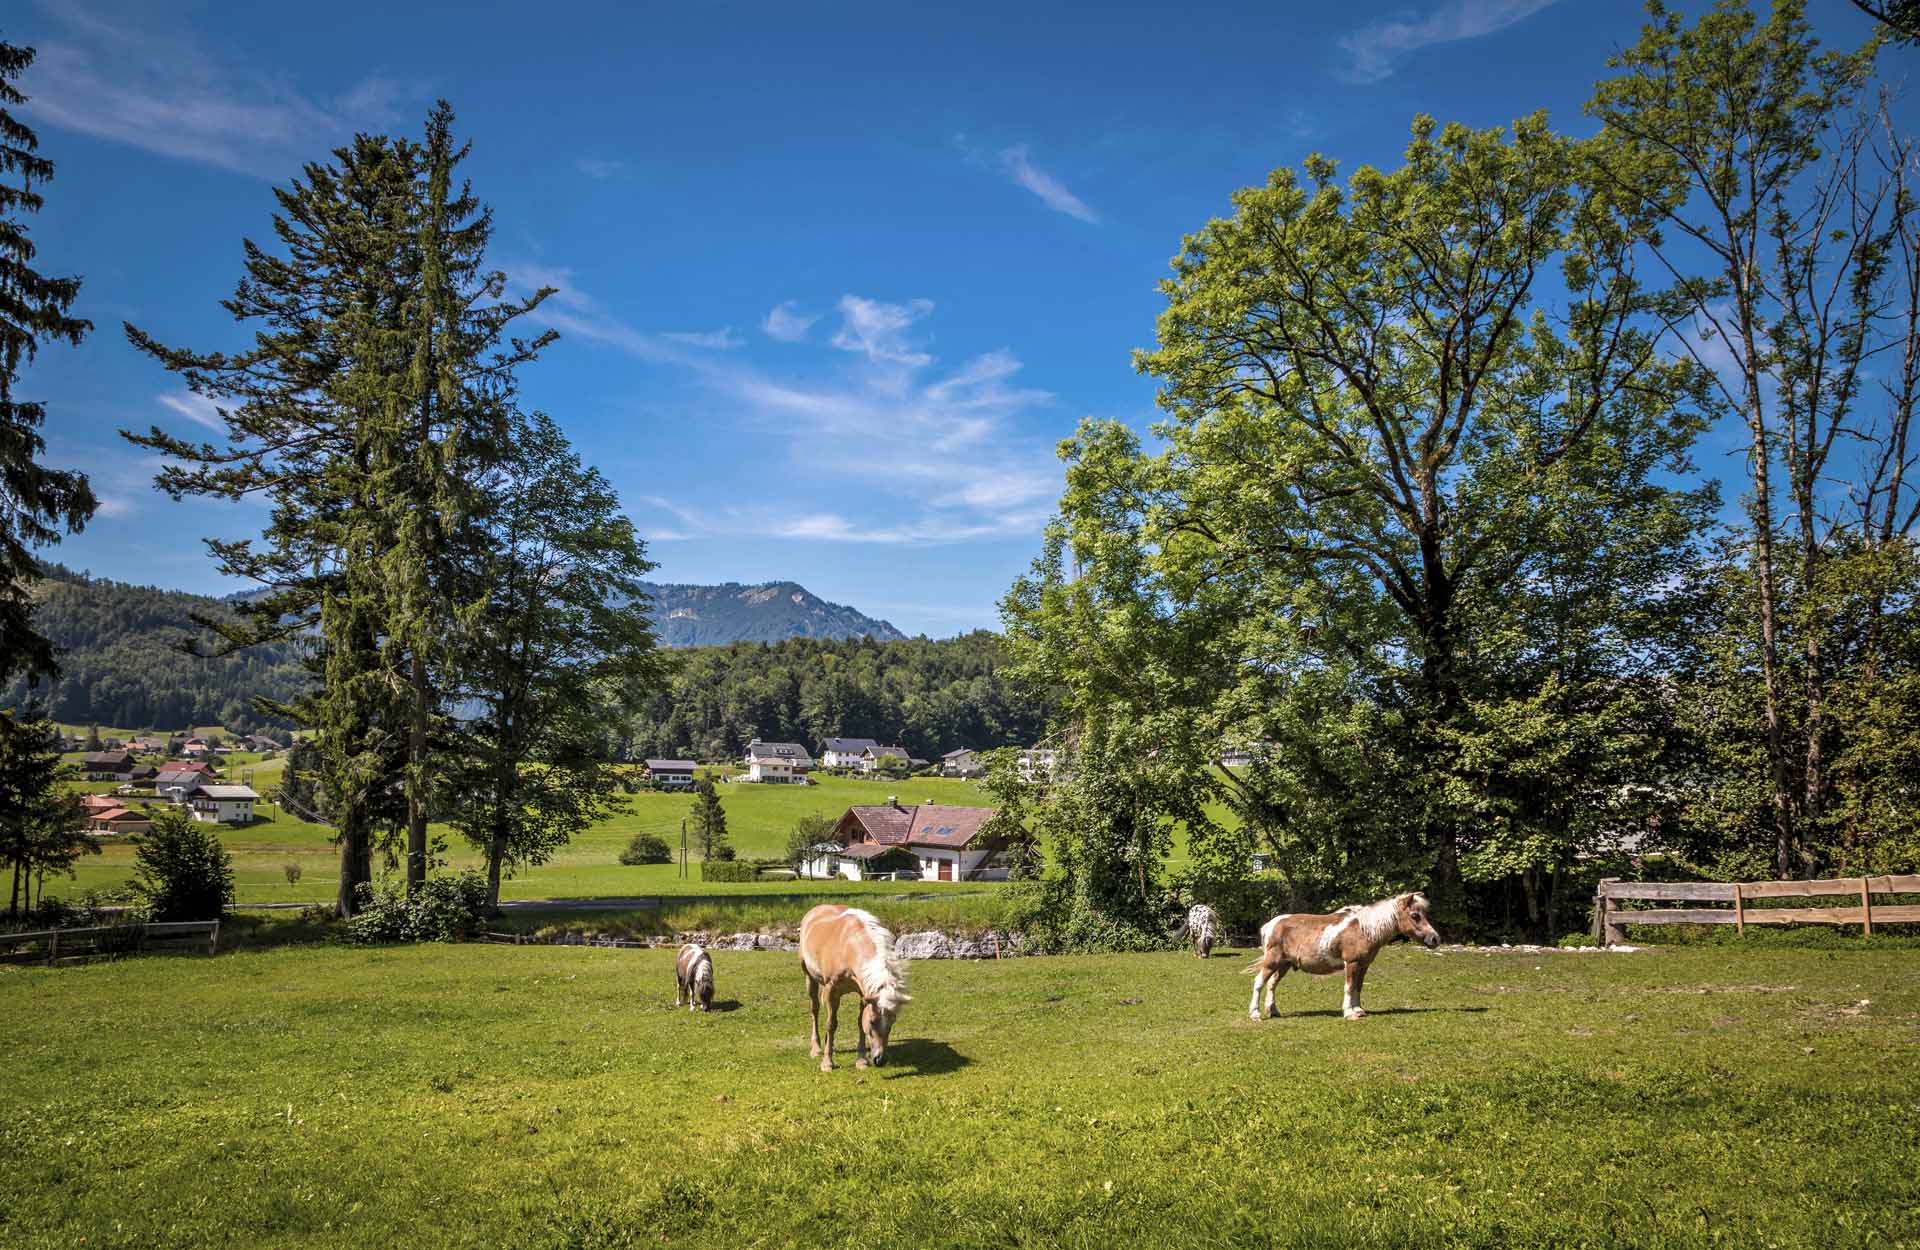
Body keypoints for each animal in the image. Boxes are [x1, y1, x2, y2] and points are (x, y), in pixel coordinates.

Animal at [798, 906, 910, 1067]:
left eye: (892, 1021)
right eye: (872, 1022)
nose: (880, 1060)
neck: (849, 948)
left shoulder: (864, 993)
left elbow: (859, 1022)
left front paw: (861, 1060)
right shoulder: (831, 990)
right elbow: (831, 1024)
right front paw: (827, 1063)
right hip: (809, 977)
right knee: (815, 1009)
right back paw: (817, 1048)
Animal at [1244, 890, 1443, 1013]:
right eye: (1415, 915)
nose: (1435, 939)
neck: (1363, 929)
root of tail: (1270, 925)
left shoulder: (1363, 965)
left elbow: (1358, 987)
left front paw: (1359, 1010)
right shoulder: (1352, 963)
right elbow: (1349, 986)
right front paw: (1349, 1012)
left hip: (1284, 965)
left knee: (1272, 985)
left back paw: (1273, 1011)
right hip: (1272, 962)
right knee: (1259, 982)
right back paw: (1255, 1014)